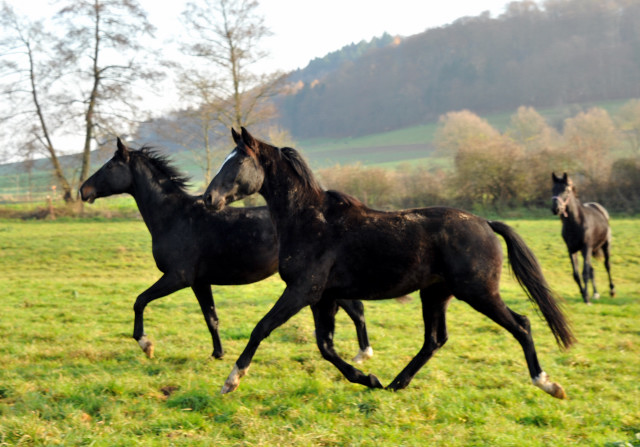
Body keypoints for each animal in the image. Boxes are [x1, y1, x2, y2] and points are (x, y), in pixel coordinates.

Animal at [79, 138, 376, 362]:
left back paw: (364, 354)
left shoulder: (178, 277)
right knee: (357, 308)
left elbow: (140, 300)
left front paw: (146, 344)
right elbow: (211, 318)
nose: (83, 190)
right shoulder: (199, 282)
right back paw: (363, 354)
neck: (175, 217)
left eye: (110, 165)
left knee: (358, 309)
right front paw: (217, 353)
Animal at [204, 129, 576, 400]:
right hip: (436, 294)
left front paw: (231, 381)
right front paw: (368, 378)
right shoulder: (322, 298)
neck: (310, 221)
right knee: (434, 340)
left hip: (478, 292)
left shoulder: (302, 291)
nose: (209, 199)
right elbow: (325, 347)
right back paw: (396, 383)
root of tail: (486, 223)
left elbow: (263, 327)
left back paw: (549, 384)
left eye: (236, 163)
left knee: (521, 324)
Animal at [552, 172, 616, 304]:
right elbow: (576, 274)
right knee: (592, 269)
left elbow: (584, 272)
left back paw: (612, 290)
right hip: (587, 250)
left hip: (605, 245)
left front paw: (586, 297)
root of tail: (601, 209)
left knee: (607, 265)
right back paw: (595, 293)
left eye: (566, 190)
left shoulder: (586, 247)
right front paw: (583, 293)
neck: (576, 223)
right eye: (553, 189)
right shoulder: (572, 250)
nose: (556, 209)